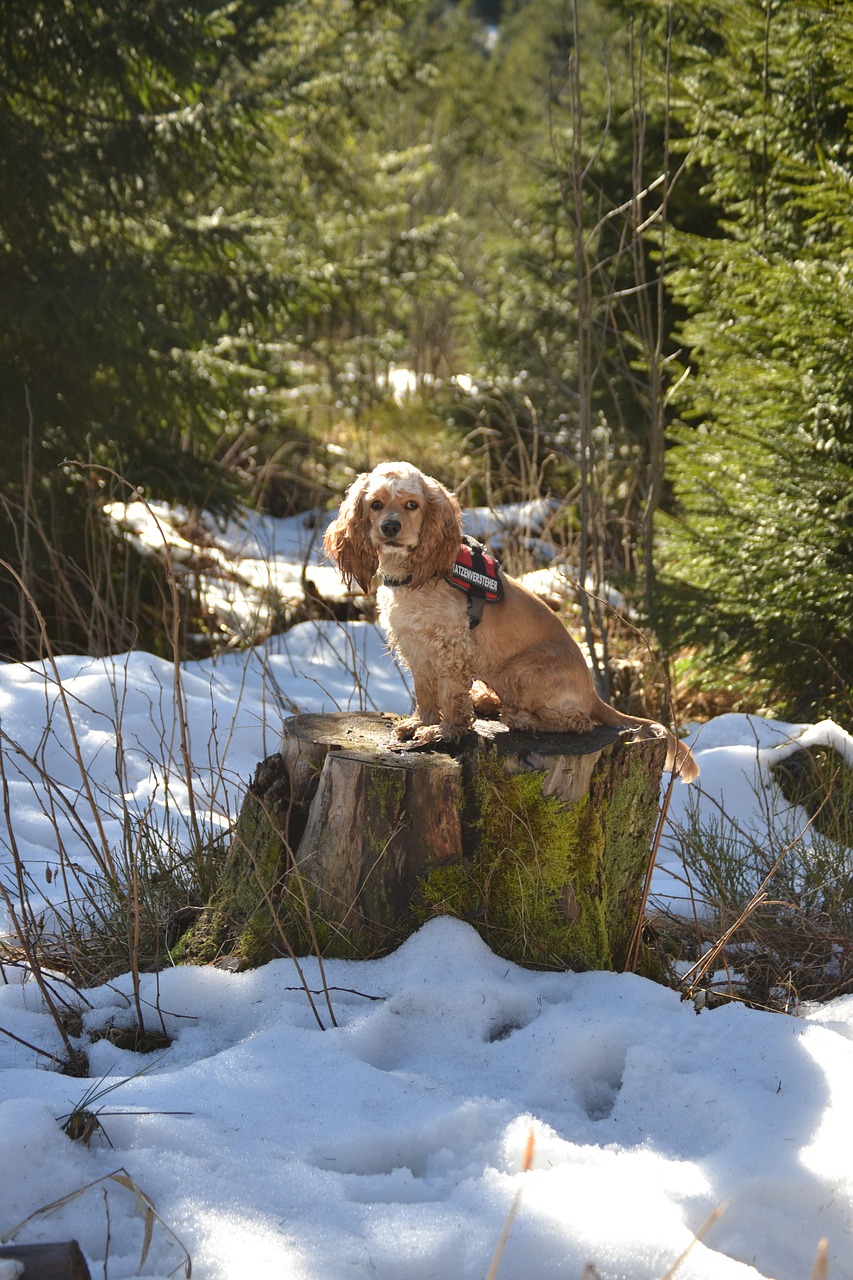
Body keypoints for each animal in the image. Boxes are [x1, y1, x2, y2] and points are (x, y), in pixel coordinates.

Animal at [322, 460, 696, 778]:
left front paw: (443, 731)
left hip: (521, 670)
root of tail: (593, 693)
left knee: (578, 721)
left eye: (412, 504)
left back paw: (520, 718)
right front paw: (419, 722)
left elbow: (450, 697)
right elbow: (425, 691)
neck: (414, 576)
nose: (390, 526)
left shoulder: (450, 650)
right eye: (376, 504)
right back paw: (485, 701)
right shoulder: (415, 647)